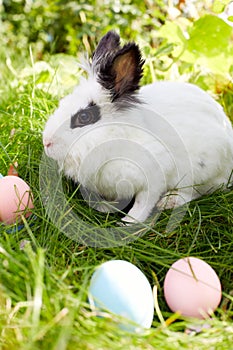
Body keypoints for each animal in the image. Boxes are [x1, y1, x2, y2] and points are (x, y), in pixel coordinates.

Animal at [42, 31, 233, 223]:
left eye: (84, 117)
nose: (46, 142)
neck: (117, 136)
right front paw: (106, 208)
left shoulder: (154, 176)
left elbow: (143, 203)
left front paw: (129, 223)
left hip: (204, 170)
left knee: (199, 191)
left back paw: (169, 201)